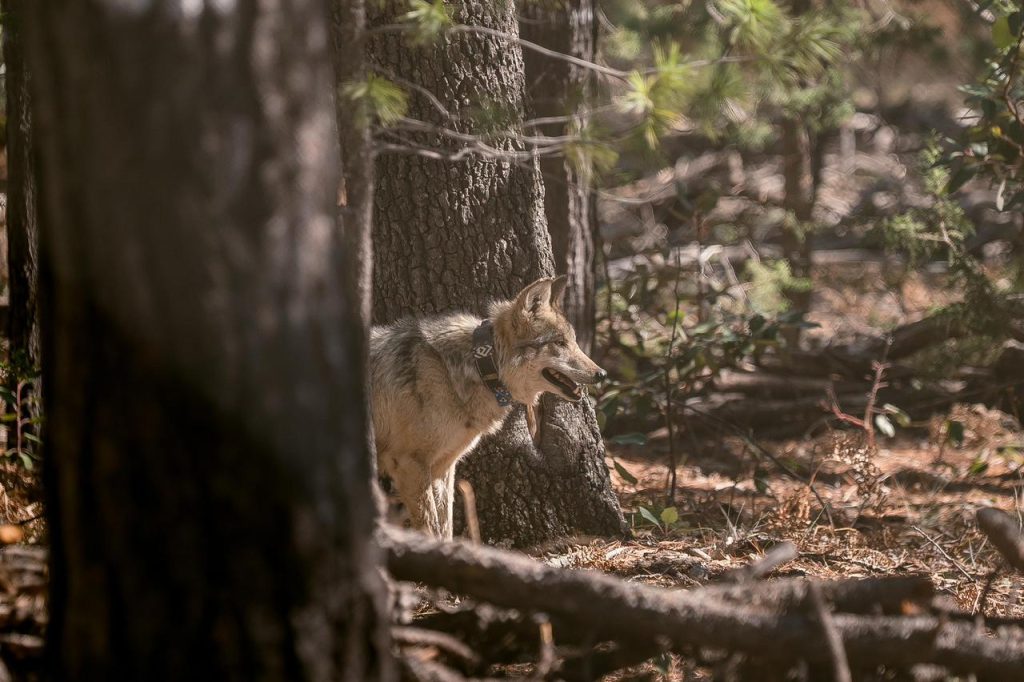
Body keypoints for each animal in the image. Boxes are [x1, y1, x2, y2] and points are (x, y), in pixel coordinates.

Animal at [370, 276, 607, 539]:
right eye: (559, 343)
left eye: (573, 342)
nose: (602, 374)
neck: (478, 365)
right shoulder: (410, 465)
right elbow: (431, 528)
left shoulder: (443, 468)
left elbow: (445, 527)